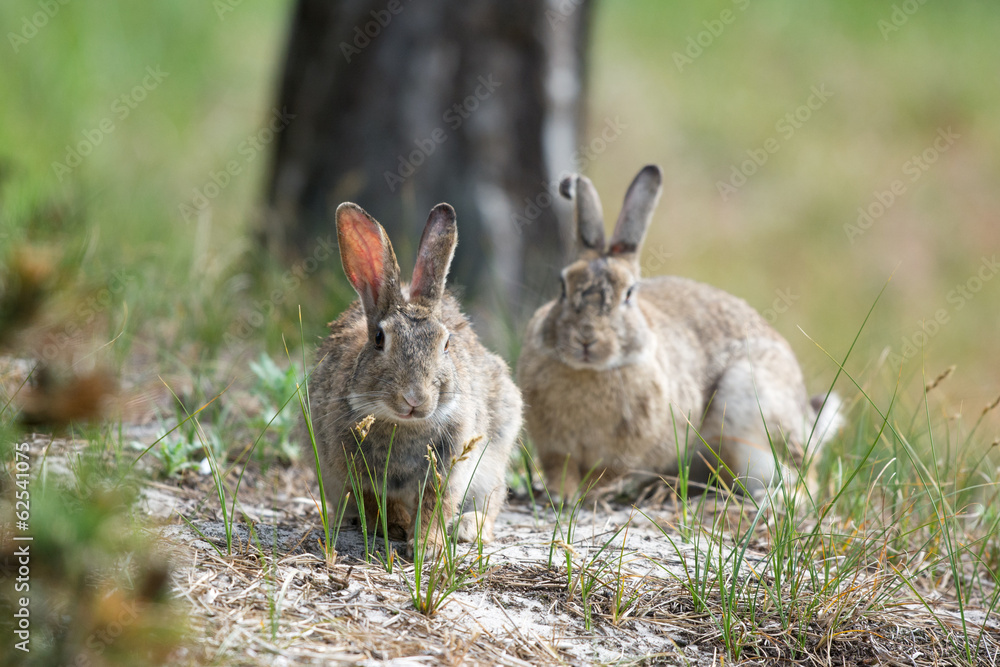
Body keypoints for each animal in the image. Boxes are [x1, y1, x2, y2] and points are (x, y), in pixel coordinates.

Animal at [306, 201, 522, 553]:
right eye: (379, 339)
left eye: (446, 343)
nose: (415, 399)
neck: (402, 425)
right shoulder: (354, 470)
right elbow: (376, 501)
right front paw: (398, 528)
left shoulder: (449, 467)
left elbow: (437, 505)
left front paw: (426, 545)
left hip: (495, 454)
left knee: (492, 499)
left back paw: (467, 527)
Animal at [517, 164, 842, 500]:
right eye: (562, 286)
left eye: (629, 294)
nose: (585, 338)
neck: (590, 371)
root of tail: (807, 422)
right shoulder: (555, 449)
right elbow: (561, 470)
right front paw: (563, 495)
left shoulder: (629, 451)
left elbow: (608, 472)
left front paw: (592, 493)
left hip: (752, 416)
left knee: (804, 478)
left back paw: (774, 498)